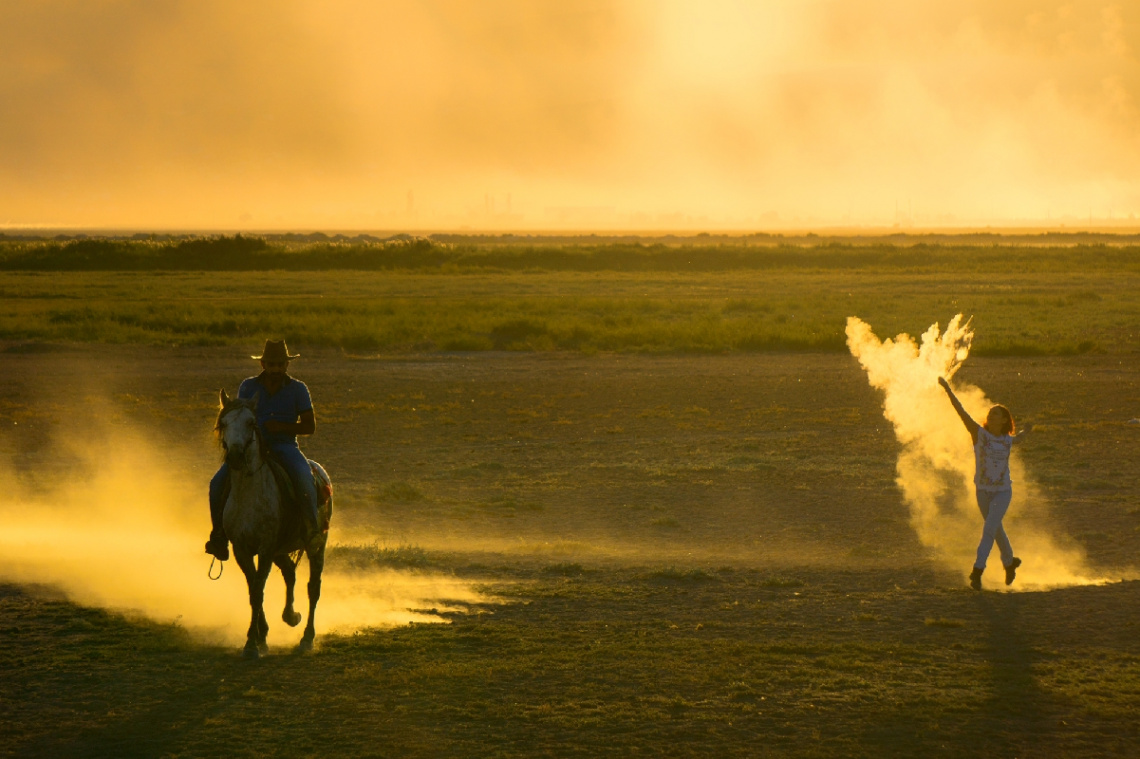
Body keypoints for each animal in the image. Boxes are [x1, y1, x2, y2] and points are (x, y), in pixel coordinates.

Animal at [215, 389, 332, 656]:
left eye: (251, 422)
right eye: (224, 423)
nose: (235, 456)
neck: (249, 493)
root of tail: (319, 471)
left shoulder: (266, 547)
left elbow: (258, 590)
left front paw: (252, 643)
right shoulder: (242, 549)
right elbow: (253, 590)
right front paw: (260, 637)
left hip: (316, 545)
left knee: (314, 587)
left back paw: (306, 638)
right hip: (282, 548)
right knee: (289, 572)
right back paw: (290, 616)